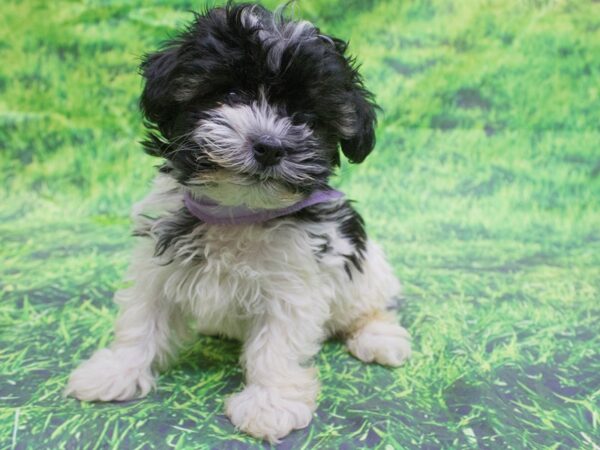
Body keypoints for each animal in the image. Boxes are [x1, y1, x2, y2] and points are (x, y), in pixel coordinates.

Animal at [65, 1, 412, 442]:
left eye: (304, 116)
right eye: (230, 94)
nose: (270, 146)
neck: (238, 210)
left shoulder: (293, 285)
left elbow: (276, 347)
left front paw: (270, 403)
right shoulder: (157, 265)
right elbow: (142, 319)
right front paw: (116, 371)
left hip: (365, 271)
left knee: (369, 306)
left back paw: (379, 336)